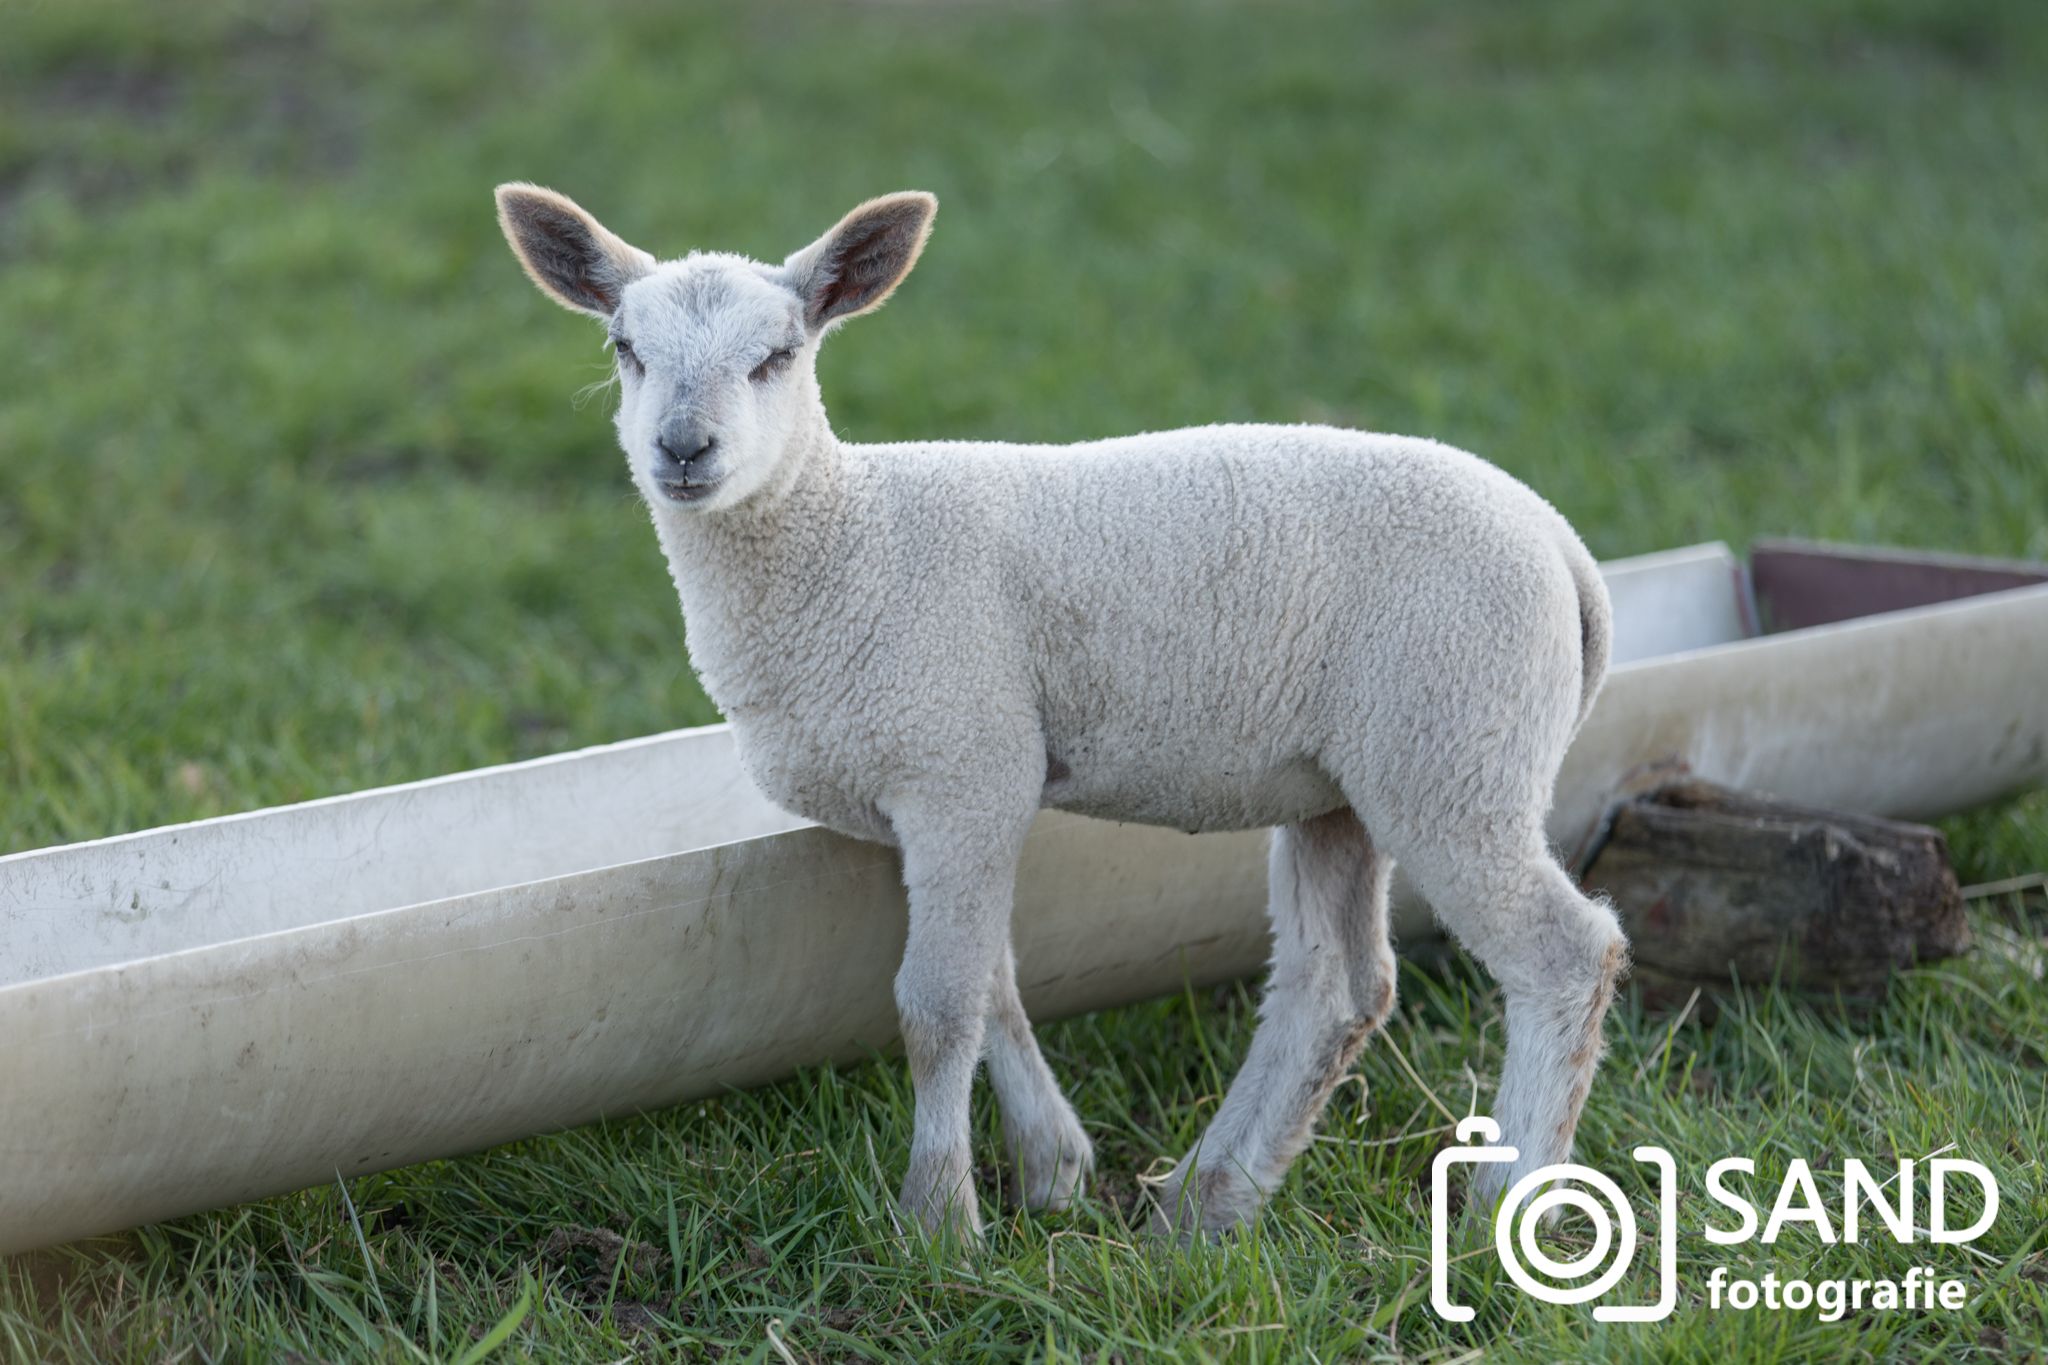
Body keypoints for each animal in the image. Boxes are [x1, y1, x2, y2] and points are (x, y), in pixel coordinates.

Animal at [487, 184, 1622, 1252]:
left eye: (777, 356)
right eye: (625, 350)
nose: (684, 450)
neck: (849, 537)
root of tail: (1564, 550)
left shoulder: (961, 765)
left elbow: (936, 1007)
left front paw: (938, 1223)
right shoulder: (960, 794)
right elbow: (992, 984)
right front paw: (1052, 1170)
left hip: (1454, 750)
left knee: (1564, 956)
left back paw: (1502, 1209)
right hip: (1347, 780)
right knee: (1334, 986)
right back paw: (1205, 1204)